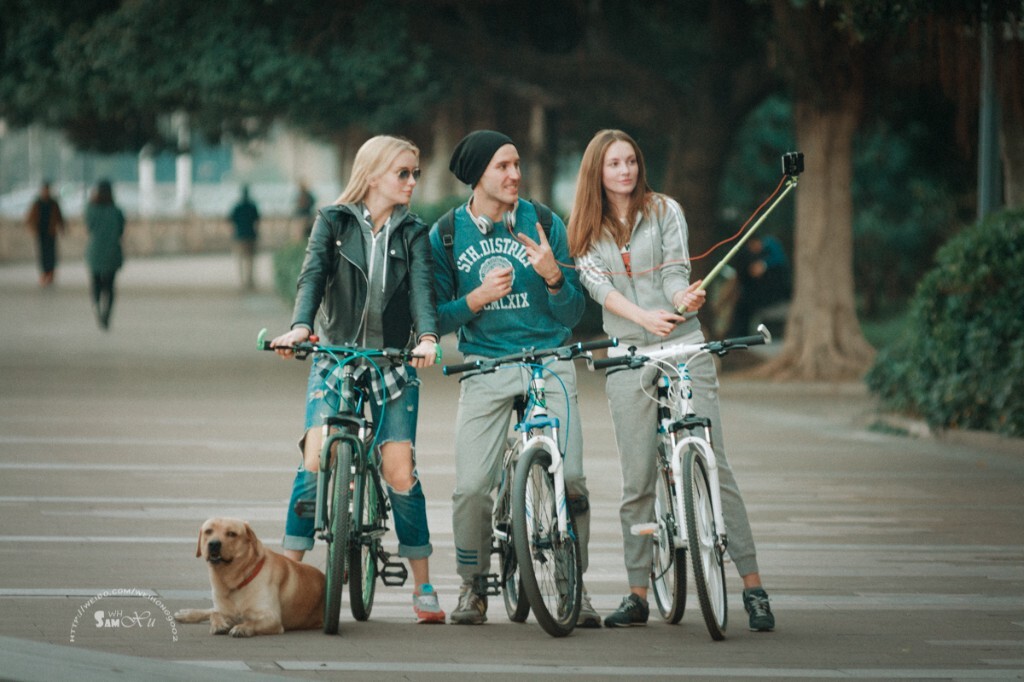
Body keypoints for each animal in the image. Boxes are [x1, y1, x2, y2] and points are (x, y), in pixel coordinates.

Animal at [172, 518, 323, 634]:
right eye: (208, 531)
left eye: (232, 533)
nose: (214, 544)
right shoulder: (226, 611)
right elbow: (215, 613)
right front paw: (218, 624)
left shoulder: (272, 618)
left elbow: (252, 622)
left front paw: (242, 628)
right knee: (211, 610)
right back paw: (187, 613)